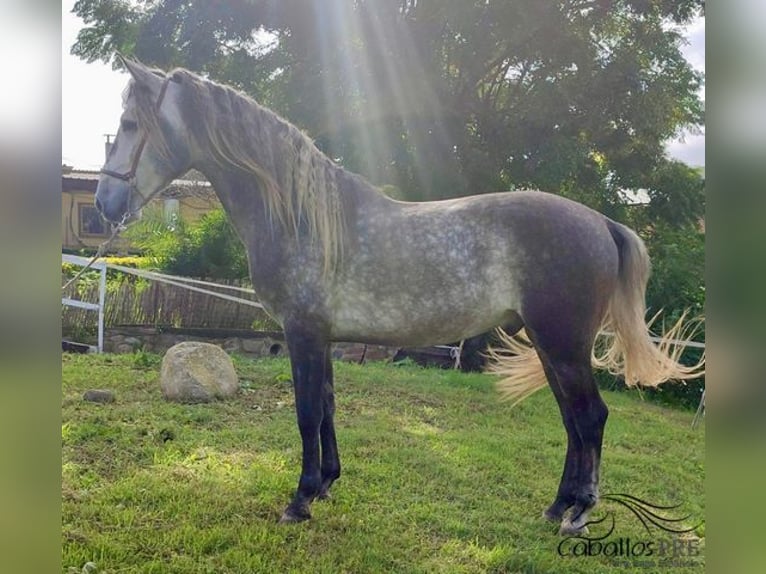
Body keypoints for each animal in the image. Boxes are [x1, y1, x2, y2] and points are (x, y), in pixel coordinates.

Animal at [94, 58, 704, 536]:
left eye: (129, 123)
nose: (104, 203)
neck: (302, 216)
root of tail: (602, 223)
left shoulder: (302, 333)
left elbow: (306, 413)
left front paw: (300, 500)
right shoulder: (324, 337)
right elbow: (327, 408)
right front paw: (325, 485)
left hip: (563, 343)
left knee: (591, 418)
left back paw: (578, 514)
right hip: (553, 347)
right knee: (574, 422)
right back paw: (558, 507)